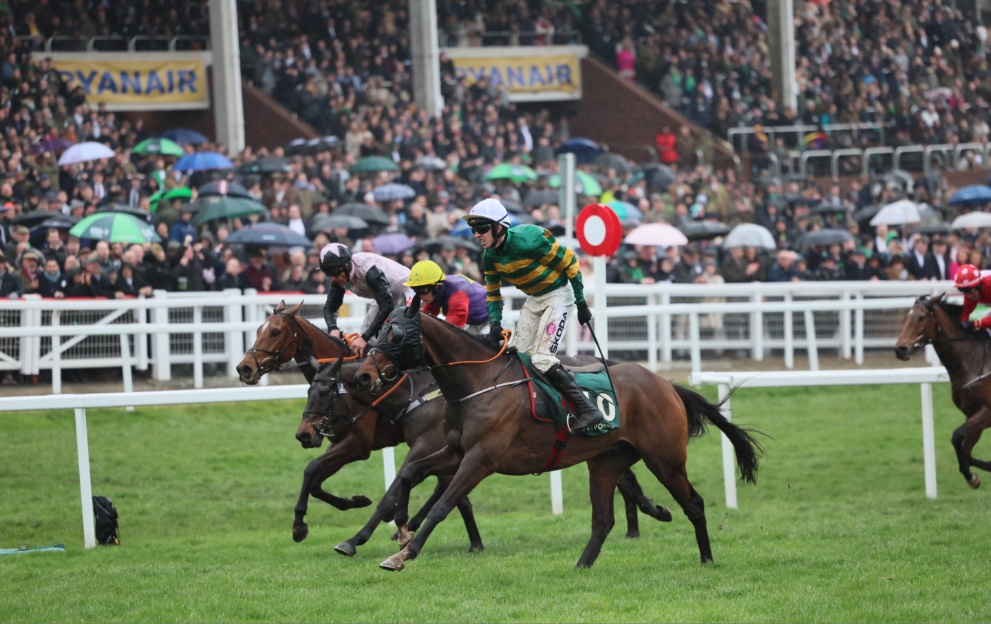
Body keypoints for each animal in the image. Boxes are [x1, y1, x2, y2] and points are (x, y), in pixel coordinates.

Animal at [356, 302, 768, 572]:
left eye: (394, 332)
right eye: (377, 329)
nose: (362, 375)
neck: (478, 383)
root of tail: (666, 384)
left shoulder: (482, 458)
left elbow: (442, 505)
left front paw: (404, 554)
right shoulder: (456, 451)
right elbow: (410, 475)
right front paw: (402, 529)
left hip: (665, 458)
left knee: (693, 504)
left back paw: (707, 559)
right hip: (606, 462)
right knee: (603, 520)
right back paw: (581, 567)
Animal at [896, 294, 991, 490]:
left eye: (921, 318)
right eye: (906, 317)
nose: (900, 349)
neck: (973, 362)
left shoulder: (988, 412)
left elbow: (956, 437)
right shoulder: (973, 414)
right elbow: (965, 450)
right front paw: (973, 476)